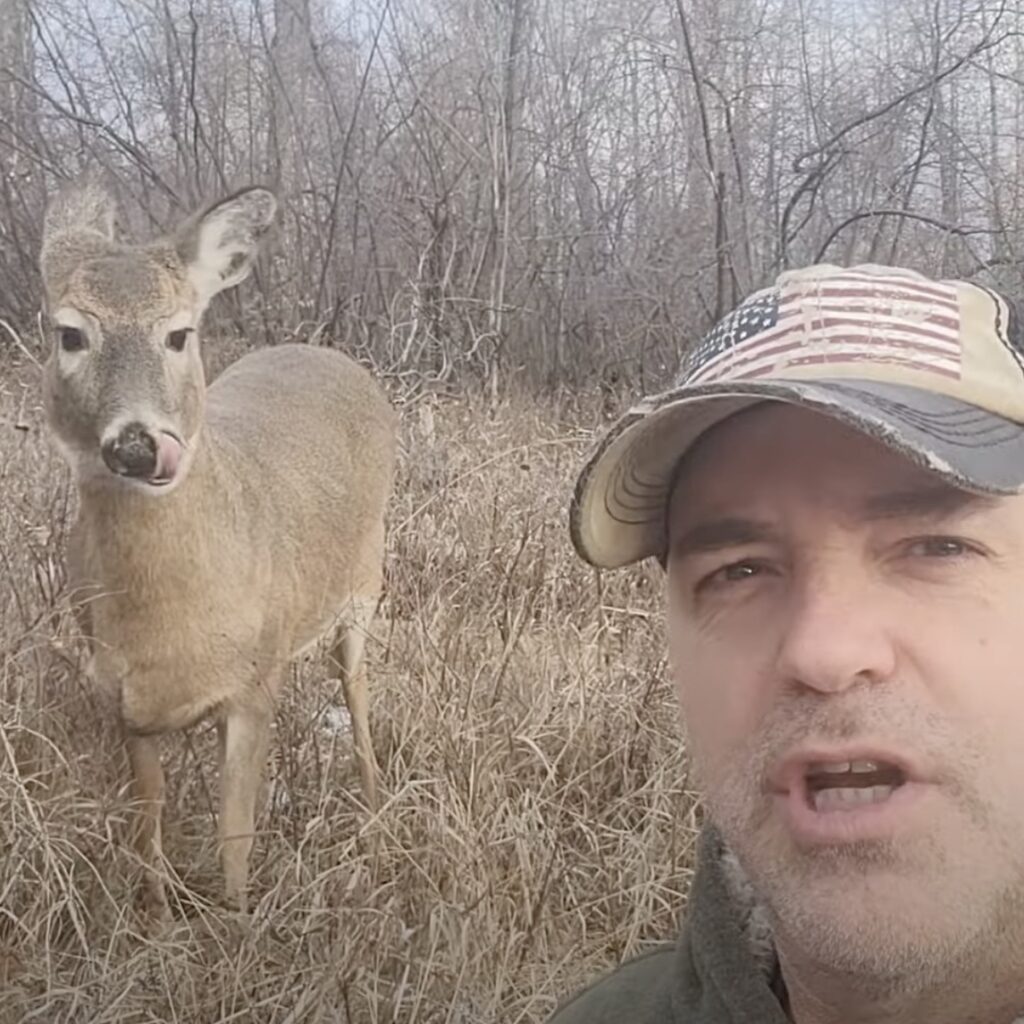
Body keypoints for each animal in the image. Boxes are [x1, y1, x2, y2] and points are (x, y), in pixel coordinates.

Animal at [38, 176, 397, 921]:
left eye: (179, 332)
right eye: (70, 333)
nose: (138, 444)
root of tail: (329, 354)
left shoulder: (255, 683)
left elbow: (236, 838)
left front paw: (239, 924)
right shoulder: (125, 702)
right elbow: (147, 829)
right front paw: (157, 916)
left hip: (365, 585)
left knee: (355, 690)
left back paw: (376, 808)